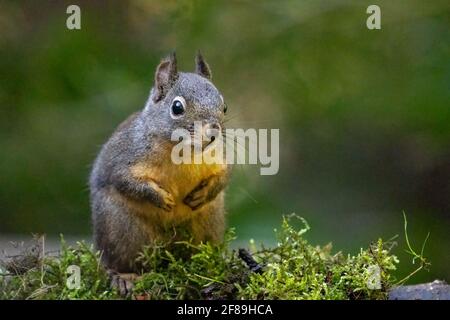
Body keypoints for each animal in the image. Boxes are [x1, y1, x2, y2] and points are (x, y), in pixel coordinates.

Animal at [89, 52, 230, 278]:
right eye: (177, 107)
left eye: (224, 107)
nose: (213, 132)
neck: (183, 152)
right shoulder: (125, 158)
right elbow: (125, 181)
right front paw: (160, 197)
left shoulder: (219, 158)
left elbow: (224, 176)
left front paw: (203, 193)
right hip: (121, 228)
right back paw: (124, 277)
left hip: (208, 220)